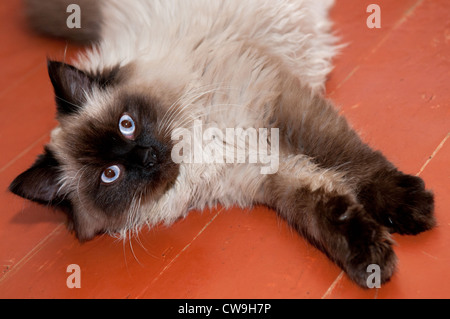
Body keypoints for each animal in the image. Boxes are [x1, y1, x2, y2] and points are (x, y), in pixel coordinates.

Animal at [9, 0, 436, 288]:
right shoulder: (267, 168)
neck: (202, 145)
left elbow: (353, 160)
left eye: (126, 124)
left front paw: (410, 207)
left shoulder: (279, 104)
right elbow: (327, 209)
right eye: (110, 175)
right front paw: (371, 259)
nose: (147, 157)